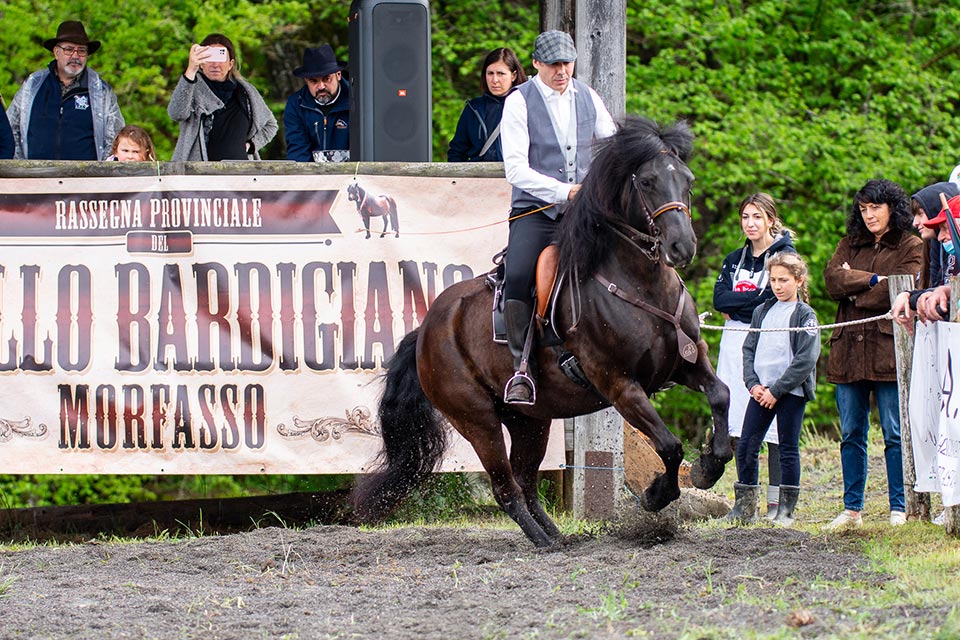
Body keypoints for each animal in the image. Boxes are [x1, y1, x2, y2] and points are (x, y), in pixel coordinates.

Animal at [352, 116, 736, 544]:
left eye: (687, 179)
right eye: (649, 182)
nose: (681, 246)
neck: (641, 284)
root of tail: (425, 330)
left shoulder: (686, 362)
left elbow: (721, 395)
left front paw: (709, 466)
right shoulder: (621, 385)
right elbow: (670, 446)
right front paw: (656, 495)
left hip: (529, 421)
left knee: (526, 482)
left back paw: (556, 537)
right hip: (478, 421)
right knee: (506, 488)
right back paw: (542, 542)